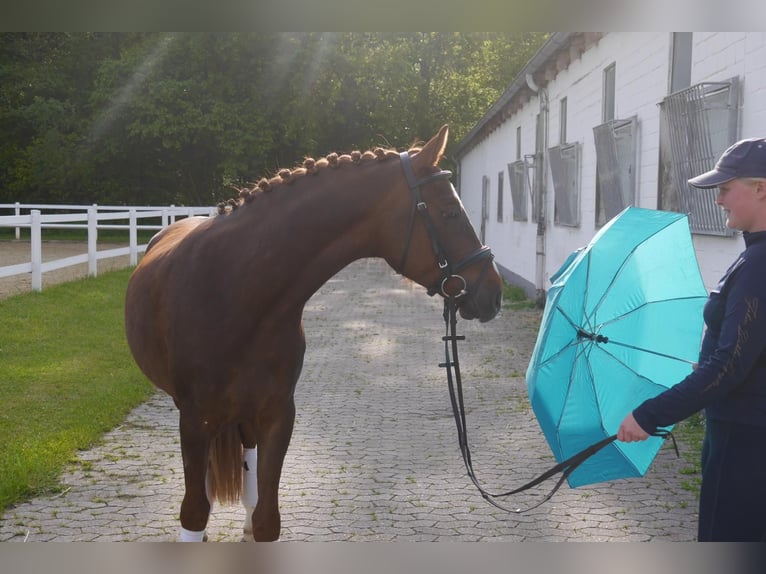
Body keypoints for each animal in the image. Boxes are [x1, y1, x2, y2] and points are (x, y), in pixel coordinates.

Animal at [124, 124, 503, 541]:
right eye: (449, 213)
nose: (494, 292)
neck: (235, 290)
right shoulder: (193, 420)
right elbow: (193, 512)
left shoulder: (277, 414)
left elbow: (267, 519)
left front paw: (255, 526)